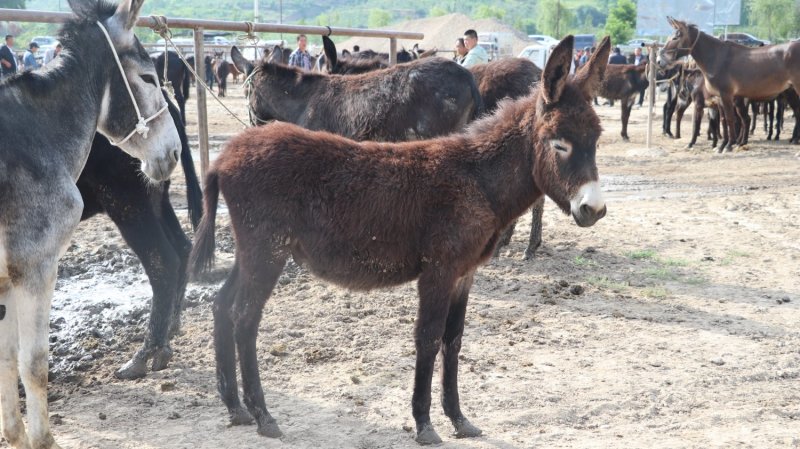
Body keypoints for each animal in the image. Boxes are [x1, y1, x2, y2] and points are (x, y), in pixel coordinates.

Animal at [0, 0, 180, 447]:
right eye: (148, 76)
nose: (173, 152)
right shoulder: (35, 267)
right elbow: (33, 362)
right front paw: (40, 439)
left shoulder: (11, 276)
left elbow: (9, 359)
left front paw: (15, 434)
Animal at [79, 91, 202, 380]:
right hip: (156, 199)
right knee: (183, 249)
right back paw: (170, 328)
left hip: (127, 199)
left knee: (163, 261)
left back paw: (145, 355)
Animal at [658, 17, 800, 152]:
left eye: (675, 37)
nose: (659, 61)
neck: (717, 58)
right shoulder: (718, 99)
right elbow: (723, 120)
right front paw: (722, 145)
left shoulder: (725, 95)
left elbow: (730, 119)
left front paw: (728, 145)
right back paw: (793, 139)